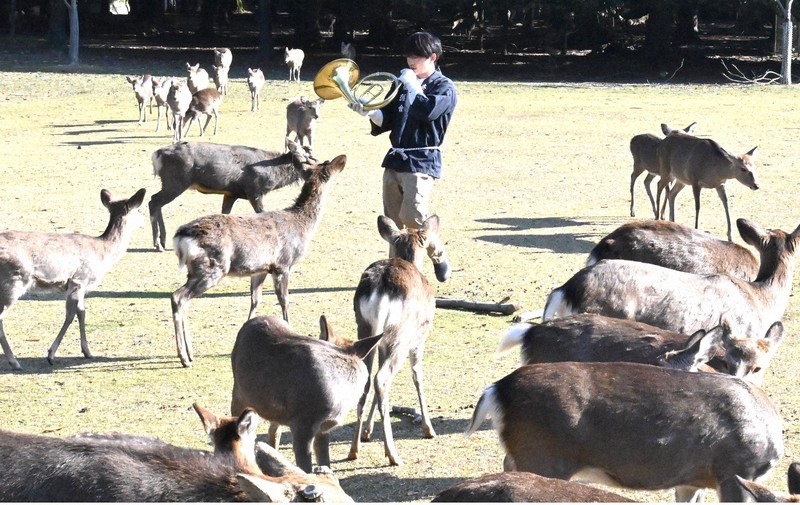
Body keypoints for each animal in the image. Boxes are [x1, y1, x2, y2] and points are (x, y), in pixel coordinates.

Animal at [0, 188, 146, 371]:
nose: (144, 219)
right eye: (138, 210)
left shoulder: (82, 286)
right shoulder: (79, 280)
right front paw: (51, 355)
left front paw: (88, 352)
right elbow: (70, 315)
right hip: (13, 282)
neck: (103, 253)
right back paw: (15, 362)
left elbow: (82, 313)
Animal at [149, 138, 316, 252]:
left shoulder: (231, 194)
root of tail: (156, 155)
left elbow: (225, 213)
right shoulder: (254, 191)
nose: (314, 173)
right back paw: (158, 244)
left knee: (155, 201)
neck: (273, 174)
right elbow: (262, 214)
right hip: (175, 182)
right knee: (153, 201)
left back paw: (162, 241)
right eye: (308, 159)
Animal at [170, 152, 346, 367]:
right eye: (328, 170)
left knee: (184, 300)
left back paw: (191, 353)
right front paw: (289, 328)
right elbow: (284, 300)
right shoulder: (283, 264)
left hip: (195, 269)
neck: (303, 225)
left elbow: (255, 300)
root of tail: (180, 236)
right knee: (178, 297)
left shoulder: (260, 269)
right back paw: (184, 358)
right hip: (212, 267)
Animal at [230, 314, 382, 472]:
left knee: (273, 432)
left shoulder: (323, 429)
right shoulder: (302, 424)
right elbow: (306, 468)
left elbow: (325, 462)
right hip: (238, 394)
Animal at [348, 215, 450, 466]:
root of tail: (380, 287)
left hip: (366, 331)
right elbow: (418, 376)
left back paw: (354, 449)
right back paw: (393, 454)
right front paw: (429, 429)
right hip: (401, 336)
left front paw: (367, 432)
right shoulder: (420, 337)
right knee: (382, 378)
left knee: (368, 378)